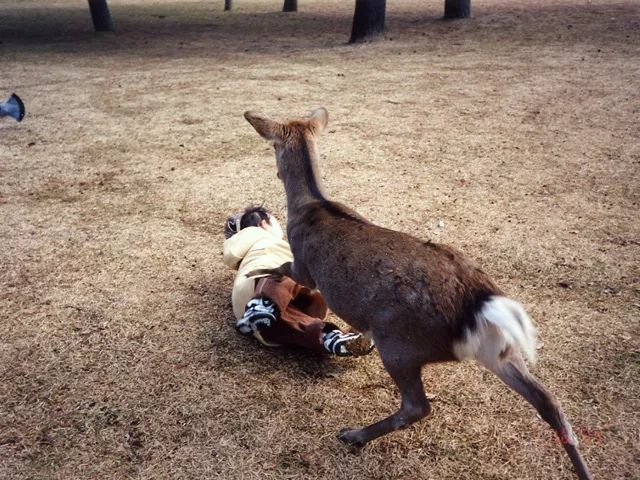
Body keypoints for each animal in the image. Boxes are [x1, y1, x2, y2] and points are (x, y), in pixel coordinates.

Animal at [242, 107, 592, 478]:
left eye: (272, 146)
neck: (308, 207)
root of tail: (479, 306)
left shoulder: (305, 266)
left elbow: (283, 267)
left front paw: (254, 272)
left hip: (400, 343)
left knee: (416, 406)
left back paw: (354, 435)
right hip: (499, 348)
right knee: (549, 401)